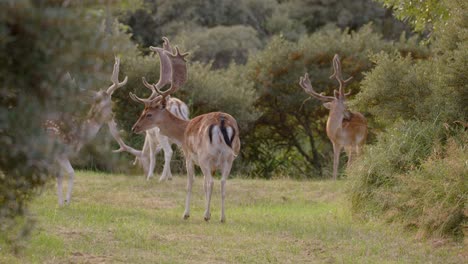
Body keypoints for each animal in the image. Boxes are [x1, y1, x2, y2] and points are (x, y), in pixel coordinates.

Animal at [45, 56, 127, 205]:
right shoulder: (60, 153)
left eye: (110, 101)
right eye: (104, 103)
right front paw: (66, 201)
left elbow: (60, 176)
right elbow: (71, 173)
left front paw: (60, 203)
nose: (112, 115)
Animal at [132, 44, 241, 222]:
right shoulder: (212, 163)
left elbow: (191, 183)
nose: (134, 127)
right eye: (143, 111)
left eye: (148, 114)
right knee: (223, 183)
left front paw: (187, 213)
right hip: (230, 157)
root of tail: (222, 122)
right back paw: (222, 217)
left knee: (211, 182)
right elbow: (204, 184)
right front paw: (209, 212)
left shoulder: (189, 156)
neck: (183, 132)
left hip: (205, 155)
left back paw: (206, 216)